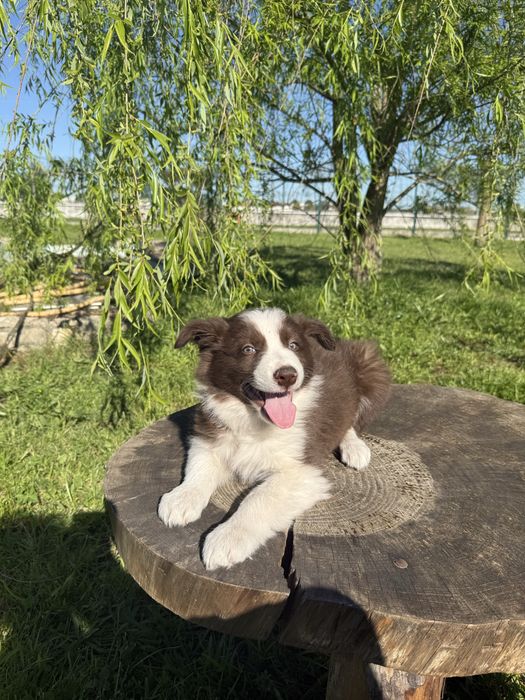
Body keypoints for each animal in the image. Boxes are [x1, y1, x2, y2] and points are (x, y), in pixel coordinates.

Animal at [158, 308, 391, 569]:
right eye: (248, 349)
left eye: (293, 345)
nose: (288, 375)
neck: (253, 420)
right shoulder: (210, 434)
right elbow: (199, 467)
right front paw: (181, 498)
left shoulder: (301, 470)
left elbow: (258, 498)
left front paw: (227, 538)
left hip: (372, 369)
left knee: (352, 422)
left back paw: (355, 448)